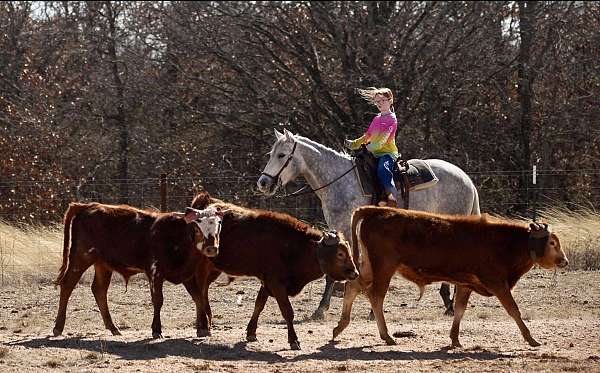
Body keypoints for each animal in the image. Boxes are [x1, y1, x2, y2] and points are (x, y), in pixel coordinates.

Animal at [51, 202, 224, 338]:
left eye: (218, 227)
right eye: (197, 227)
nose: (211, 249)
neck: (178, 237)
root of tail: (86, 206)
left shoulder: (187, 274)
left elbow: (198, 297)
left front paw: (203, 328)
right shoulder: (155, 272)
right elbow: (158, 300)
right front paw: (156, 330)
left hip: (103, 264)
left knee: (99, 290)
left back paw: (113, 328)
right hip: (81, 258)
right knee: (67, 285)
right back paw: (58, 327)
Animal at [192, 192, 358, 348]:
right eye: (340, 253)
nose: (355, 273)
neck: (296, 248)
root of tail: (203, 200)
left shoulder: (266, 281)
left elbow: (259, 304)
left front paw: (251, 332)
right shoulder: (276, 283)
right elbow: (287, 311)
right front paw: (293, 340)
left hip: (213, 269)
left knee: (203, 291)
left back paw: (206, 323)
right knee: (199, 291)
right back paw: (203, 326)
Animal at [255, 129, 480, 318]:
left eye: (282, 155)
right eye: (271, 153)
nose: (263, 183)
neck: (338, 181)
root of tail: (466, 178)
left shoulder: (347, 228)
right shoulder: (336, 228)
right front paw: (325, 307)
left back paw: (450, 303)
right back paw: (448, 302)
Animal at [332, 205, 572, 348]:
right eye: (552, 242)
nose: (565, 261)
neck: (505, 243)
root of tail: (374, 210)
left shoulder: (466, 284)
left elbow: (459, 310)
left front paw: (455, 339)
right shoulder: (497, 283)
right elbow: (514, 310)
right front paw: (531, 339)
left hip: (368, 267)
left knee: (352, 287)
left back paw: (340, 327)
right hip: (384, 268)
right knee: (376, 296)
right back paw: (387, 336)